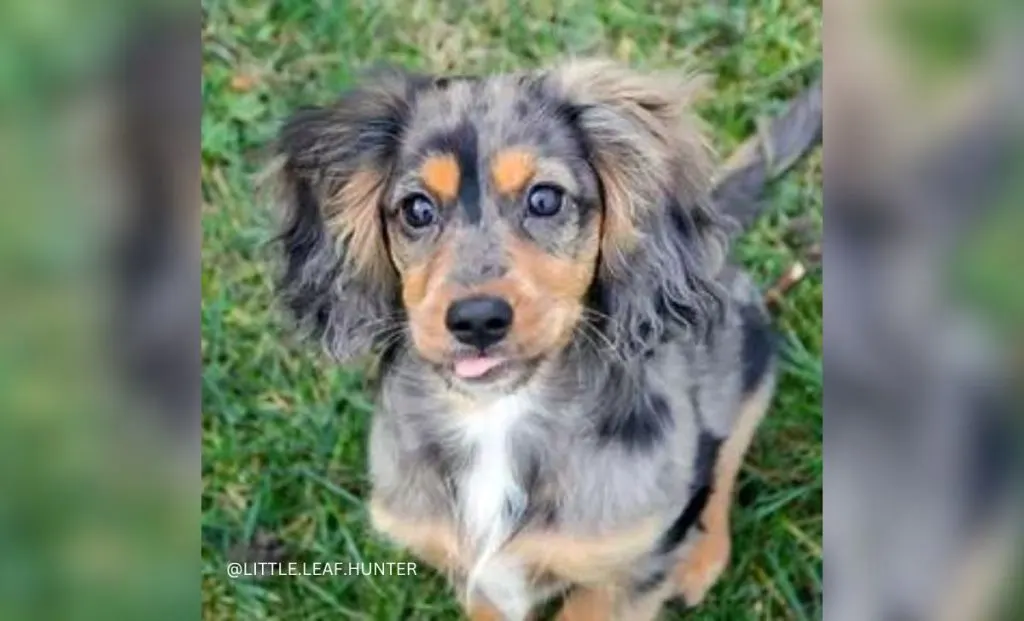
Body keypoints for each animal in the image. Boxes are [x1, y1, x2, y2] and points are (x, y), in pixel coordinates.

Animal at [272, 59, 823, 621]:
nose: (476, 320)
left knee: (725, 456)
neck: (495, 417)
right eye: (416, 210)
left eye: (545, 199)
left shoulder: (625, 571)